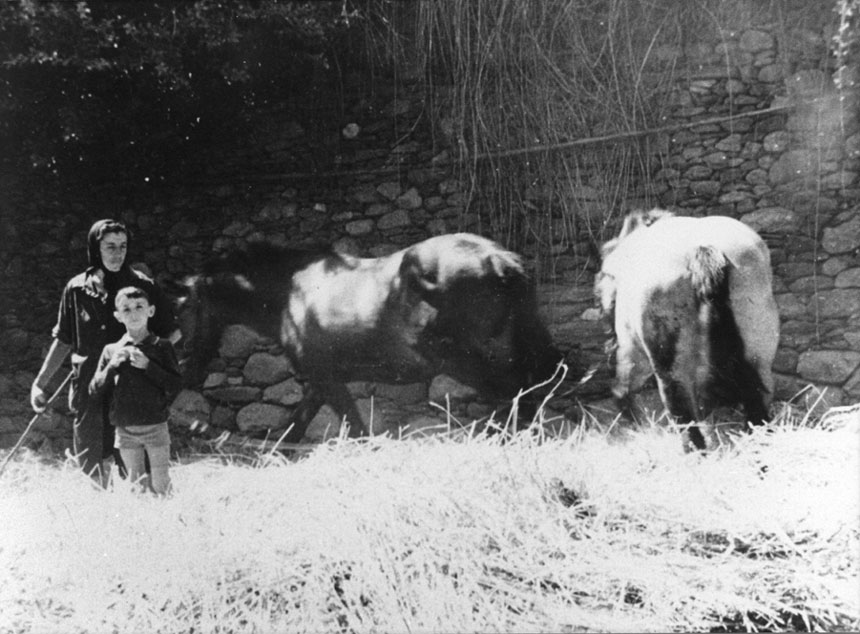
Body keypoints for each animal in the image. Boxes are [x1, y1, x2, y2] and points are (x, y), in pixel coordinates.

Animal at [178, 231, 560, 440]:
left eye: (191, 305)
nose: (187, 368)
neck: (290, 291)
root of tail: (499, 259)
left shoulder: (325, 379)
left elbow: (354, 427)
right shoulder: (323, 381)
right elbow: (297, 425)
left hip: (462, 359)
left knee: (517, 394)